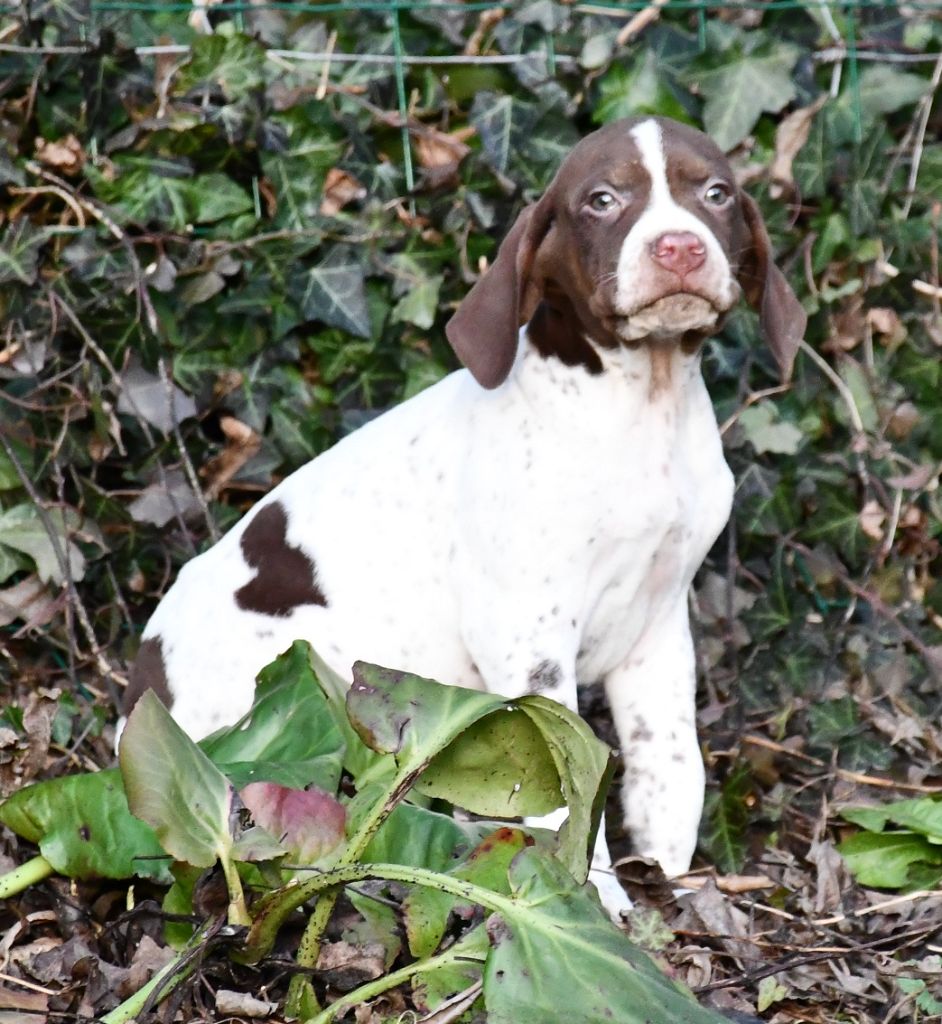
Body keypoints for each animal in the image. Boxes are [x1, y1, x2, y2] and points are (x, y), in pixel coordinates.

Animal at [121, 116, 806, 917]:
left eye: (716, 193)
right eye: (602, 201)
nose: (680, 247)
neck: (642, 407)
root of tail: (137, 700)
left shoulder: (658, 620)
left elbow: (670, 757)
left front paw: (670, 873)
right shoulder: (525, 632)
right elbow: (567, 790)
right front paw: (593, 903)